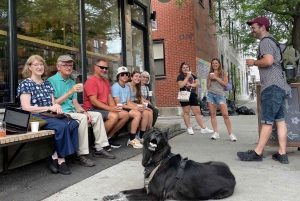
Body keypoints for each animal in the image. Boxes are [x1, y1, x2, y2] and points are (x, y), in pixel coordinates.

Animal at [103, 128, 237, 200]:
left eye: (161, 134)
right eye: (152, 131)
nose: (157, 134)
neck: (158, 161)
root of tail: (232, 175)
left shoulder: (154, 196)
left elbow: (128, 197)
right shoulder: (144, 189)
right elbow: (124, 192)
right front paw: (110, 196)